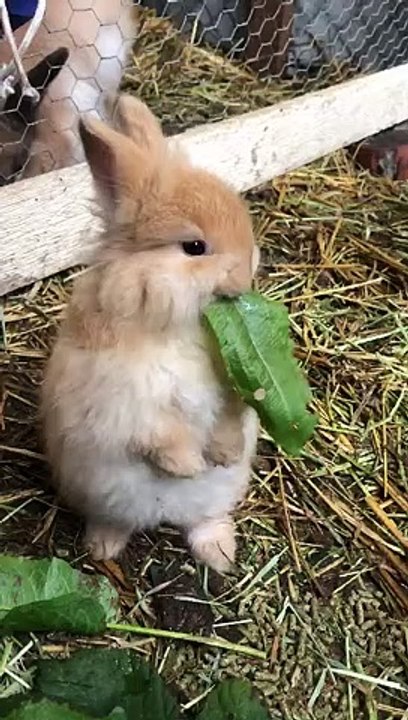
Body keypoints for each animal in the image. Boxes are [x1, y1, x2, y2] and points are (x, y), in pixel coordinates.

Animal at [41, 94, 260, 573]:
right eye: (194, 247)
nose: (245, 274)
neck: (176, 327)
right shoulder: (125, 399)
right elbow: (158, 434)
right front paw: (187, 466)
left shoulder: (232, 389)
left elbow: (229, 418)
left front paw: (224, 454)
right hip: (99, 492)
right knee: (116, 520)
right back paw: (102, 547)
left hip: (214, 500)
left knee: (204, 520)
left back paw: (220, 555)